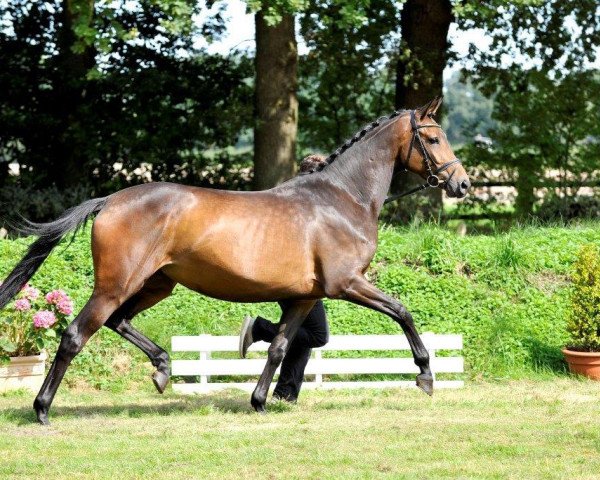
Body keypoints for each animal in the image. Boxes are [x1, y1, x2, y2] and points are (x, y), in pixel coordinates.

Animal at [0, 94, 468, 424]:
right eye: (432, 138)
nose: (461, 184)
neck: (342, 199)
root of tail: (110, 200)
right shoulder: (347, 283)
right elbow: (402, 311)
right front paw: (425, 375)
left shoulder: (305, 297)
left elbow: (280, 347)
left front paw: (259, 401)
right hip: (115, 285)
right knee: (75, 335)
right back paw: (42, 409)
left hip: (157, 284)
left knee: (118, 322)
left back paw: (163, 369)